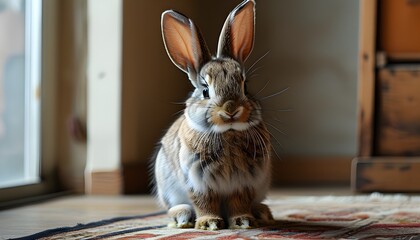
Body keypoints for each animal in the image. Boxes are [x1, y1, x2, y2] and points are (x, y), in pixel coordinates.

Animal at [153, 0, 272, 230]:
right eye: (205, 91)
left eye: (245, 86)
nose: (231, 109)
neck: (228, 133)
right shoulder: (198, 182)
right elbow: (204, 202)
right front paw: (209, 223)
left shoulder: (244, 183)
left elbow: (239, 202)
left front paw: (243, 221)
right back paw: (182, 217)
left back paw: (262, 212)